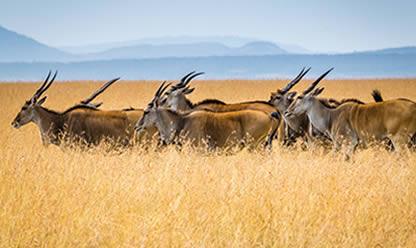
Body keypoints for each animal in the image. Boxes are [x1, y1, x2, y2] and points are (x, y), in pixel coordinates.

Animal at [286, 85, 416, 159]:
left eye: (300, 97)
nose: (287, 112)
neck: (331, 115)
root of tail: (414, 106)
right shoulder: (350, 148)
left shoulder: (348, 144)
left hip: (400, 141)